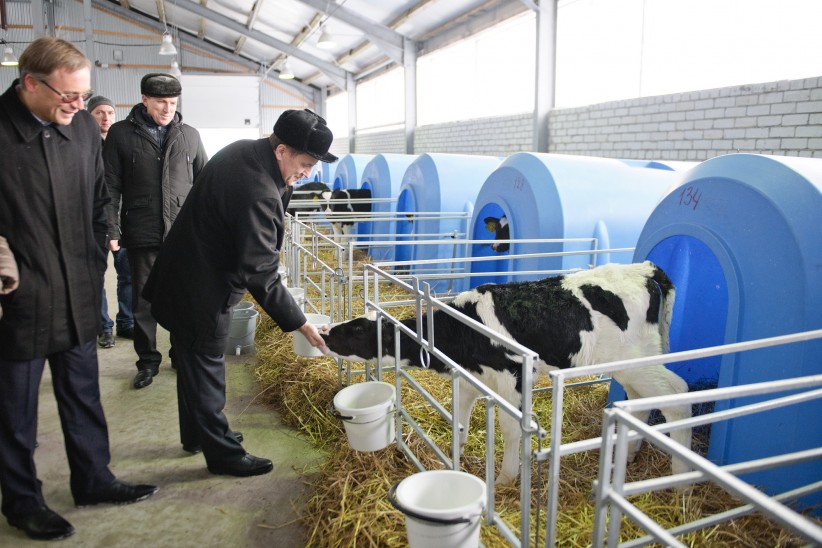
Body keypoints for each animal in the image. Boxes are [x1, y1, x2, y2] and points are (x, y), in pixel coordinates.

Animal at [318, 262, 692, 484]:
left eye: (356, 330)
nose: (323, 332)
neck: (463, 330)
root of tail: (644, 268)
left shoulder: (512, 377)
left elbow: (512, 430)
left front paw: (506, 477)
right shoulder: (472, 378)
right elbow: (459, 418)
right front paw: (456, 454)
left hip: (639, 360)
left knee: (677, 396)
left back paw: (681, 480)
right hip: (629, 365)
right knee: (640, 402)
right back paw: (624, 459)